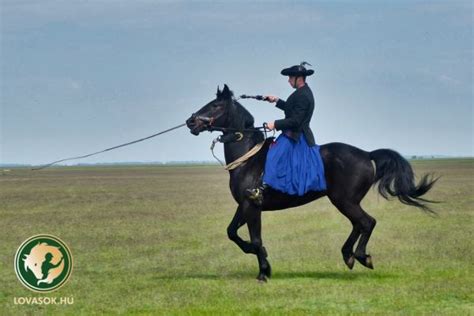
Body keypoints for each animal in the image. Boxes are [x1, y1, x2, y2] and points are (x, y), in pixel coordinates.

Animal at [185, 84, 436, 282]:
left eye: (215, 105)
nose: (190, 121)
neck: (249, 158)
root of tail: (366, 154)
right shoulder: (244, 205)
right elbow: (232, 232)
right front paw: (262, 261)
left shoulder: (253, 206)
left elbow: (255, 240)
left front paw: (264, 271)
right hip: (345, 201)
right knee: (359, 224)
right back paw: (348, 255)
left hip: (344, 200)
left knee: (367, 222)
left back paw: (361, 257)